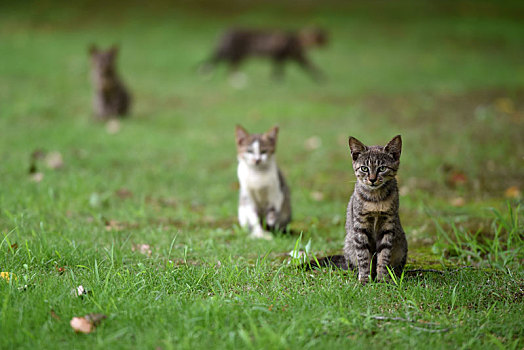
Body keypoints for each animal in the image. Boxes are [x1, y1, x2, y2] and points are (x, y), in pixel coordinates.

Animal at [344, 135, 410, 284]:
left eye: (382, 168)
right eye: (364, 168)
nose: (372, 179)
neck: (375, 199)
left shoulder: (388, 225)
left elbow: (384, 255)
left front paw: (382, 279)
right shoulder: (360, 226)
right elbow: (363, 256)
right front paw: (364, 279)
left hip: (402, 243)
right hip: (349, 242)